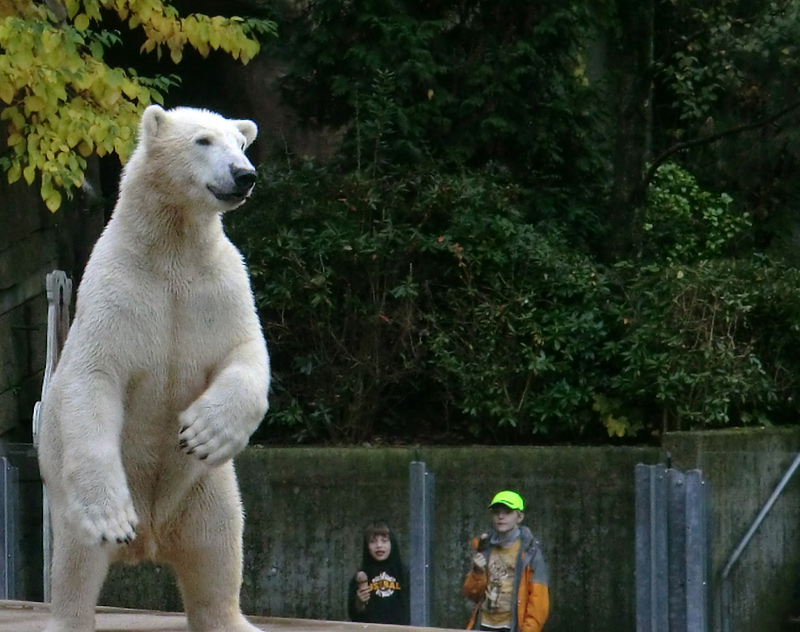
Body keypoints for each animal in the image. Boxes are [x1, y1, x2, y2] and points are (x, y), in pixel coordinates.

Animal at [38, 105, 272, 632]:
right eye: (203, 140)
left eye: (240, 144)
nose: (243, 175)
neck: (170, 251)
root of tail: (152, 539)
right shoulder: (116, 293)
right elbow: (94, 378)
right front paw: (111, 517)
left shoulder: (220, 286)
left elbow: (246, 351)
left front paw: (204, 431)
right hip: (67, 496)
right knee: (76, 564)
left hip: (205, 492)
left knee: (218, 548)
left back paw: (232, 619)